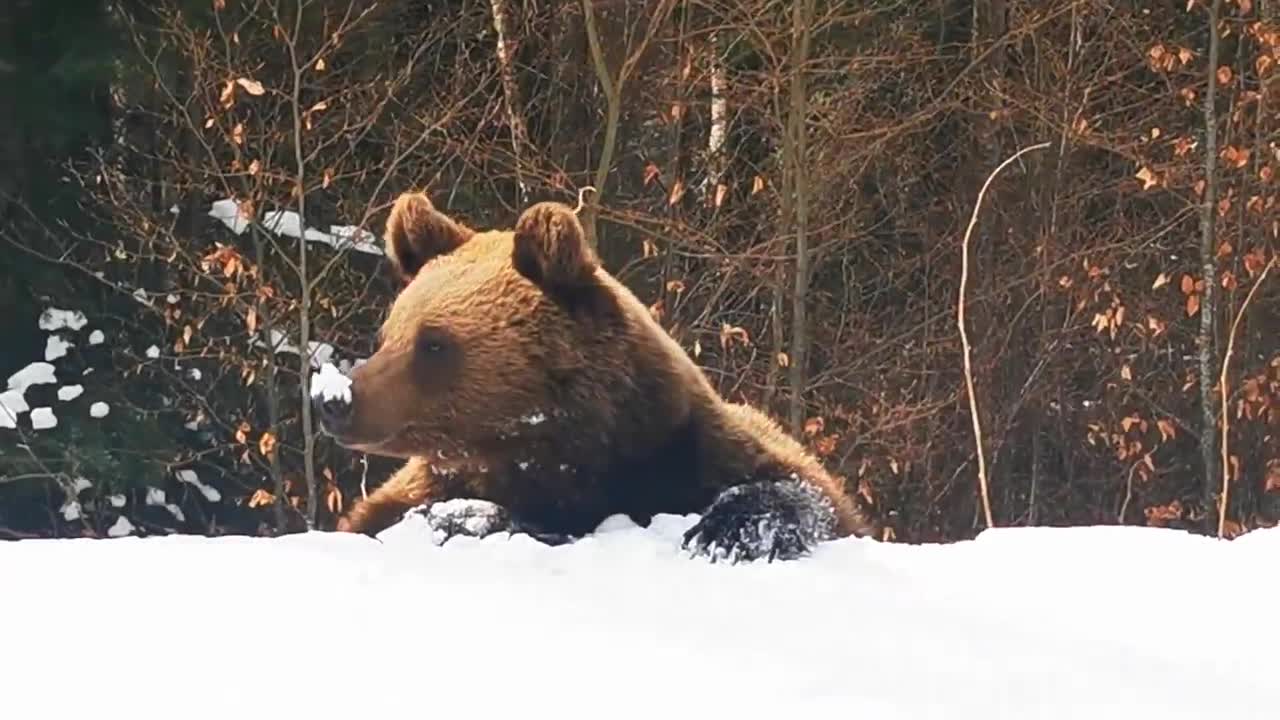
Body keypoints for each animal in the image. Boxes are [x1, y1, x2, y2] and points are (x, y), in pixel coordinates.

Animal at [313, 190, 875, 561]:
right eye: (387, 335)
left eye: (434, 343)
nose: (334, 401)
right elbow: (384, 514)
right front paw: (459, 518)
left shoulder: (683, 454)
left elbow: (804, 494)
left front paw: (725, 532)